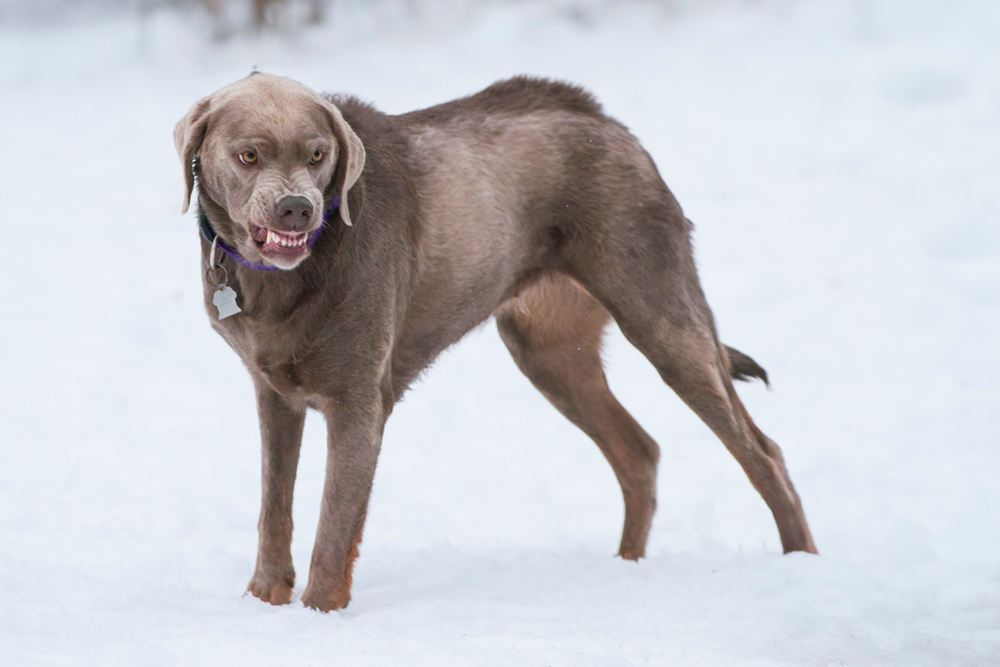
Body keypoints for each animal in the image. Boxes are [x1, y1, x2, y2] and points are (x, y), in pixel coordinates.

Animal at [176, 72, 816, 612]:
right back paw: (625, 570)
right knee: (639, 452)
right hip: (549, 352)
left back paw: (800, 566)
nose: (297, 208)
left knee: (764, 453)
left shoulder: (359, 401)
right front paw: (263, 602)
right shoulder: (274, 393)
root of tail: (608, 121)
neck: (281, 282)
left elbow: (334, 527)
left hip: (662, 318)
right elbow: (274, 508)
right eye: (248, 155)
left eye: (318, 155)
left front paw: (317, 615)